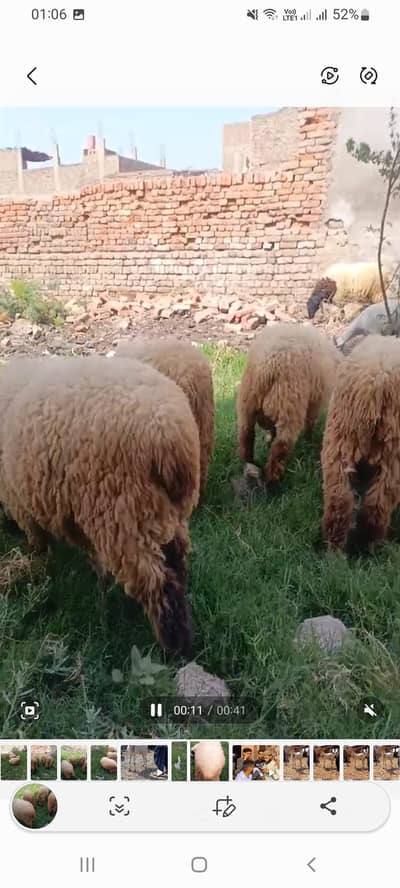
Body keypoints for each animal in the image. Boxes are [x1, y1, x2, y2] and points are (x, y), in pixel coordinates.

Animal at [0, 355, 200, 656]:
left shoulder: (19, 500)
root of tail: (167, 432)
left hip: (122, 517)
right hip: (165, 514)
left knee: (158, 585)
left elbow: (37, 539)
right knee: (177, 566)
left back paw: (174, 645)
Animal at [237, 323, 341, 485]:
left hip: (247, 403)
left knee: (246, 434)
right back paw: (273, 480)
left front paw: (269, 439)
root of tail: (267, 367)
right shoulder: (315, 400)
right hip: (289, 406)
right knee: (281, 447)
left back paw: (249, 461)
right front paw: (308, 439)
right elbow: (311, 421)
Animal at [321, 335, 400, 550]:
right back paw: (370, 545)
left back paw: (337, 548)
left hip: (341, 443)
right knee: (377, 505)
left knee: (342, 500)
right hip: (391, 454)